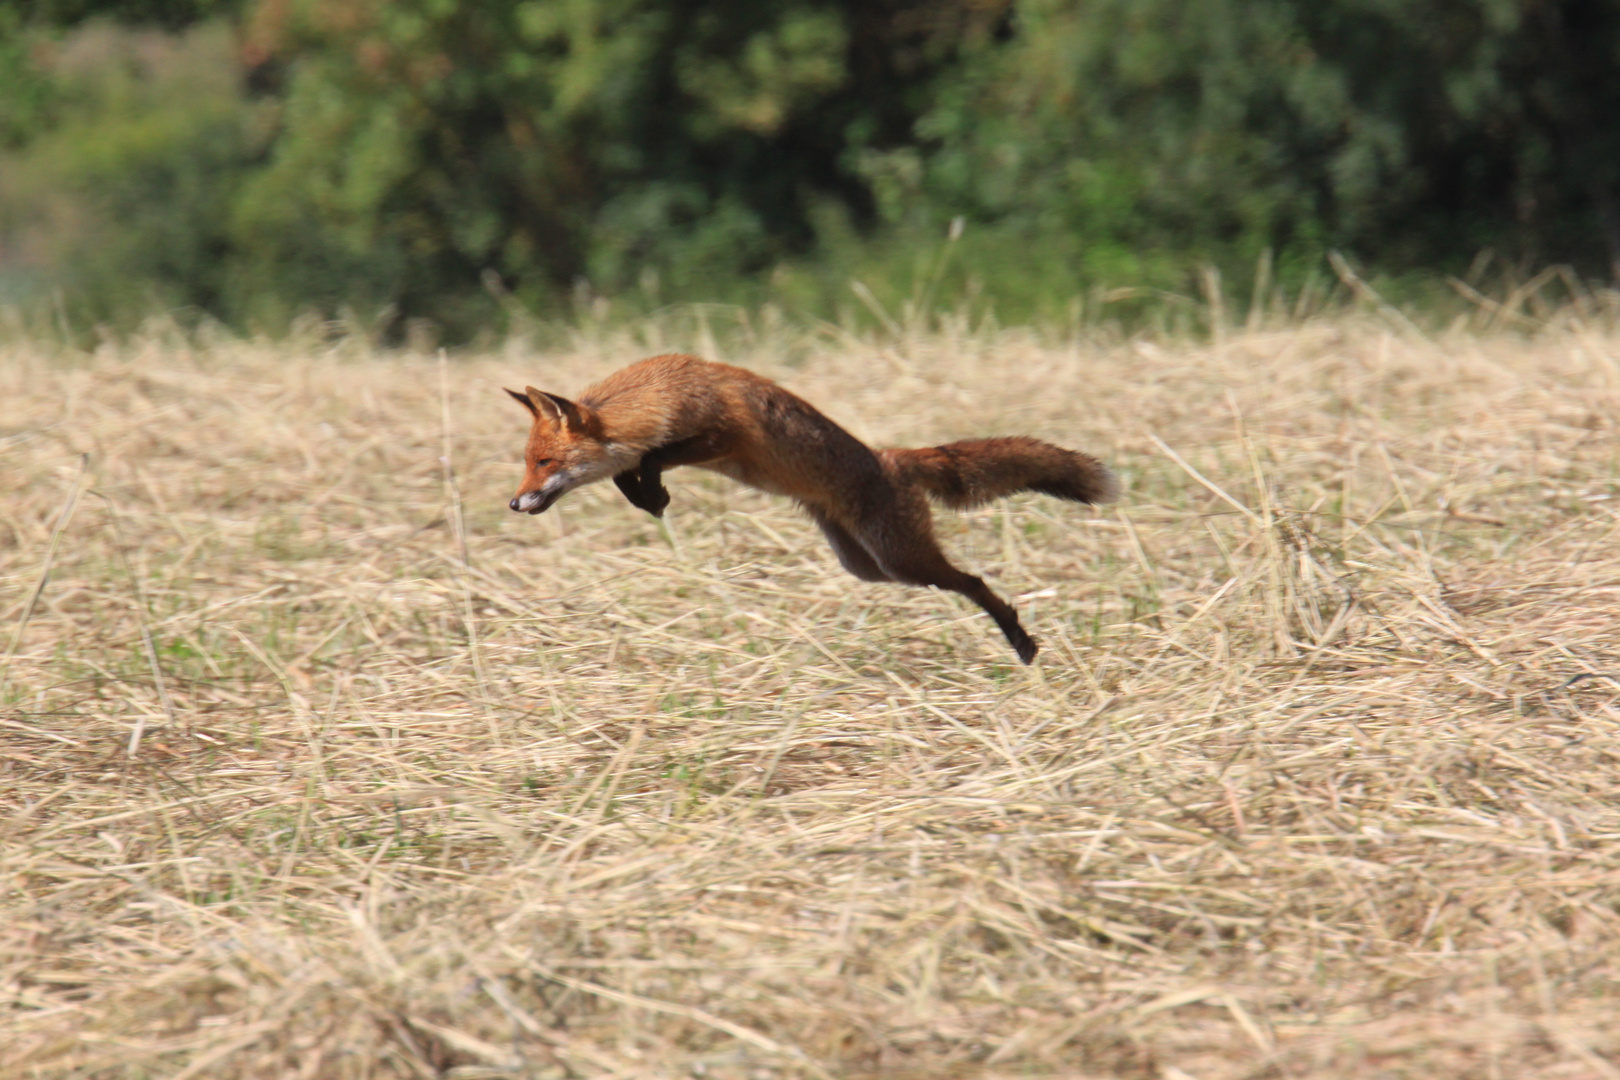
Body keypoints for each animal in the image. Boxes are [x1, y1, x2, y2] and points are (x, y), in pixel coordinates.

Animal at [505, 354, 1114, 663]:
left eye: (542, 461)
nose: (513, 502)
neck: (661, 393)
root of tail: (890, 459)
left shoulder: (723, 435)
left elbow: (654, 456)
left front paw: (651, 492)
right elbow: (631, 470)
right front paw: (648, 497)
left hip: (902, 558)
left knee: (975, 581)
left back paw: (1021, 640)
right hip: (868, 566)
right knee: (958, 580)